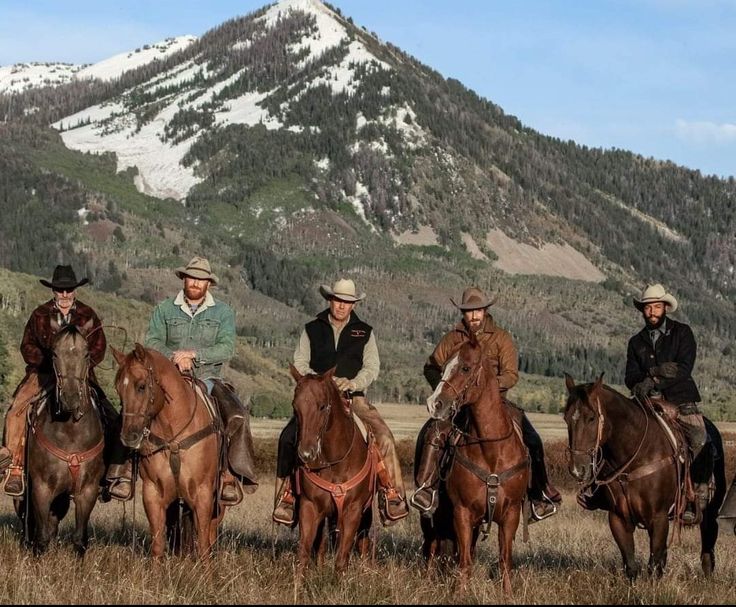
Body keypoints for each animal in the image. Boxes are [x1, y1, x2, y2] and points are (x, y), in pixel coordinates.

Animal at [20, 326, 105, 560]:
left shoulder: (87, 491)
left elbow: (79, 539)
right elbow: (40, 538)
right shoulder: (41, 488)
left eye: (86, 354)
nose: (70, 398)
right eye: (55, 354)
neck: (70, 432)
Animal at [112, 344, 226, 564]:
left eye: (141, 386)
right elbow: (158, 545)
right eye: (118, 388)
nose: (129, 437)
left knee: (210, 535)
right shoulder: (153, 493)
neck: (174, 434)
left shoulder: (203, 494)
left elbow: (203, 545)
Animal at [288, 364, 376, 576]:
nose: (306, 453)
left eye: (322, 406)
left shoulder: (353, 511)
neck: (335, 462)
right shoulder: (309, 506)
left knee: (363, 544)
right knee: (320, 545)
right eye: (295, 407)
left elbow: (342, 559)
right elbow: (303, 553)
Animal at [426, 334, 528, 596]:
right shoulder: (462, 513)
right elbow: (464, 560)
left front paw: (508, 594)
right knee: (433, 546)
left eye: (465, 367)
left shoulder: (511, 514)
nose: (435, 404)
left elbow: (504, 558)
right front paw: (460, 594)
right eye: (443, 367)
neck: (491, 451)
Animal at [564, 376, 724, 580]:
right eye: (566, 417)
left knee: (708, 544)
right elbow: (631, 565)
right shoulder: (618, 518)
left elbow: (653, 566)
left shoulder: (658, 518)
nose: (578, 469)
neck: (635, 454)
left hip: (709, 511)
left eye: (591, 418)